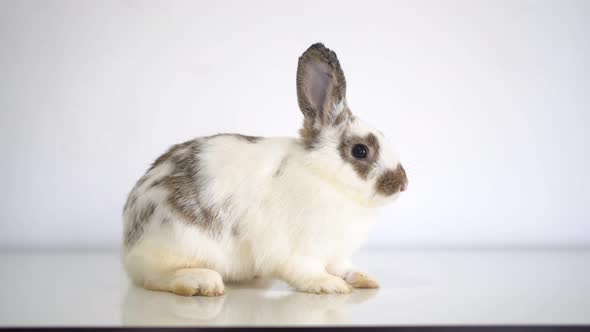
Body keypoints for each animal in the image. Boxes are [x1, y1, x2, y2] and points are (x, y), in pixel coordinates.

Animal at [122, 42, 410, 296]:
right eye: (360, 151)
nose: (402, 184)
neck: (324, 176)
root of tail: (129, 242)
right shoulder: (297, 250)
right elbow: (306, 271)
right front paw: (328, 285)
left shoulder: (336, 253)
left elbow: (344, 268)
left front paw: (364, 279)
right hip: (179, 241)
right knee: (154, 277)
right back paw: (201, 282)